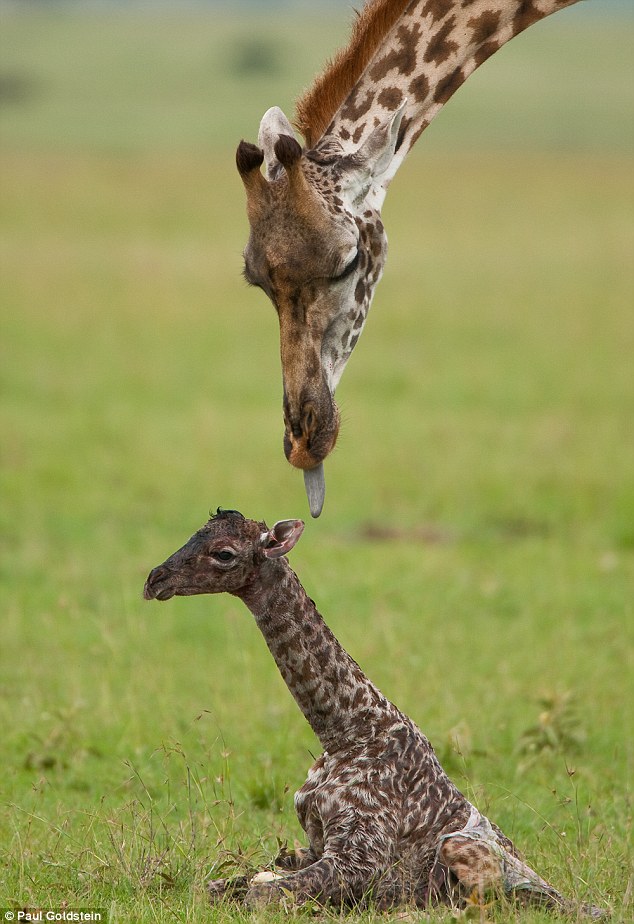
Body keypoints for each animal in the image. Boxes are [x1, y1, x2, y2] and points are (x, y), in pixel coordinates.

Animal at [143, 508, 604, 920]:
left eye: (224, 553)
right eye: (193, 534)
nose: (154, 580)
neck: (345, 730)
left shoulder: (360, 860)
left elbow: (259, 895)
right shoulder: (314, 844)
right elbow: (223, 884)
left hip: (465, 852)